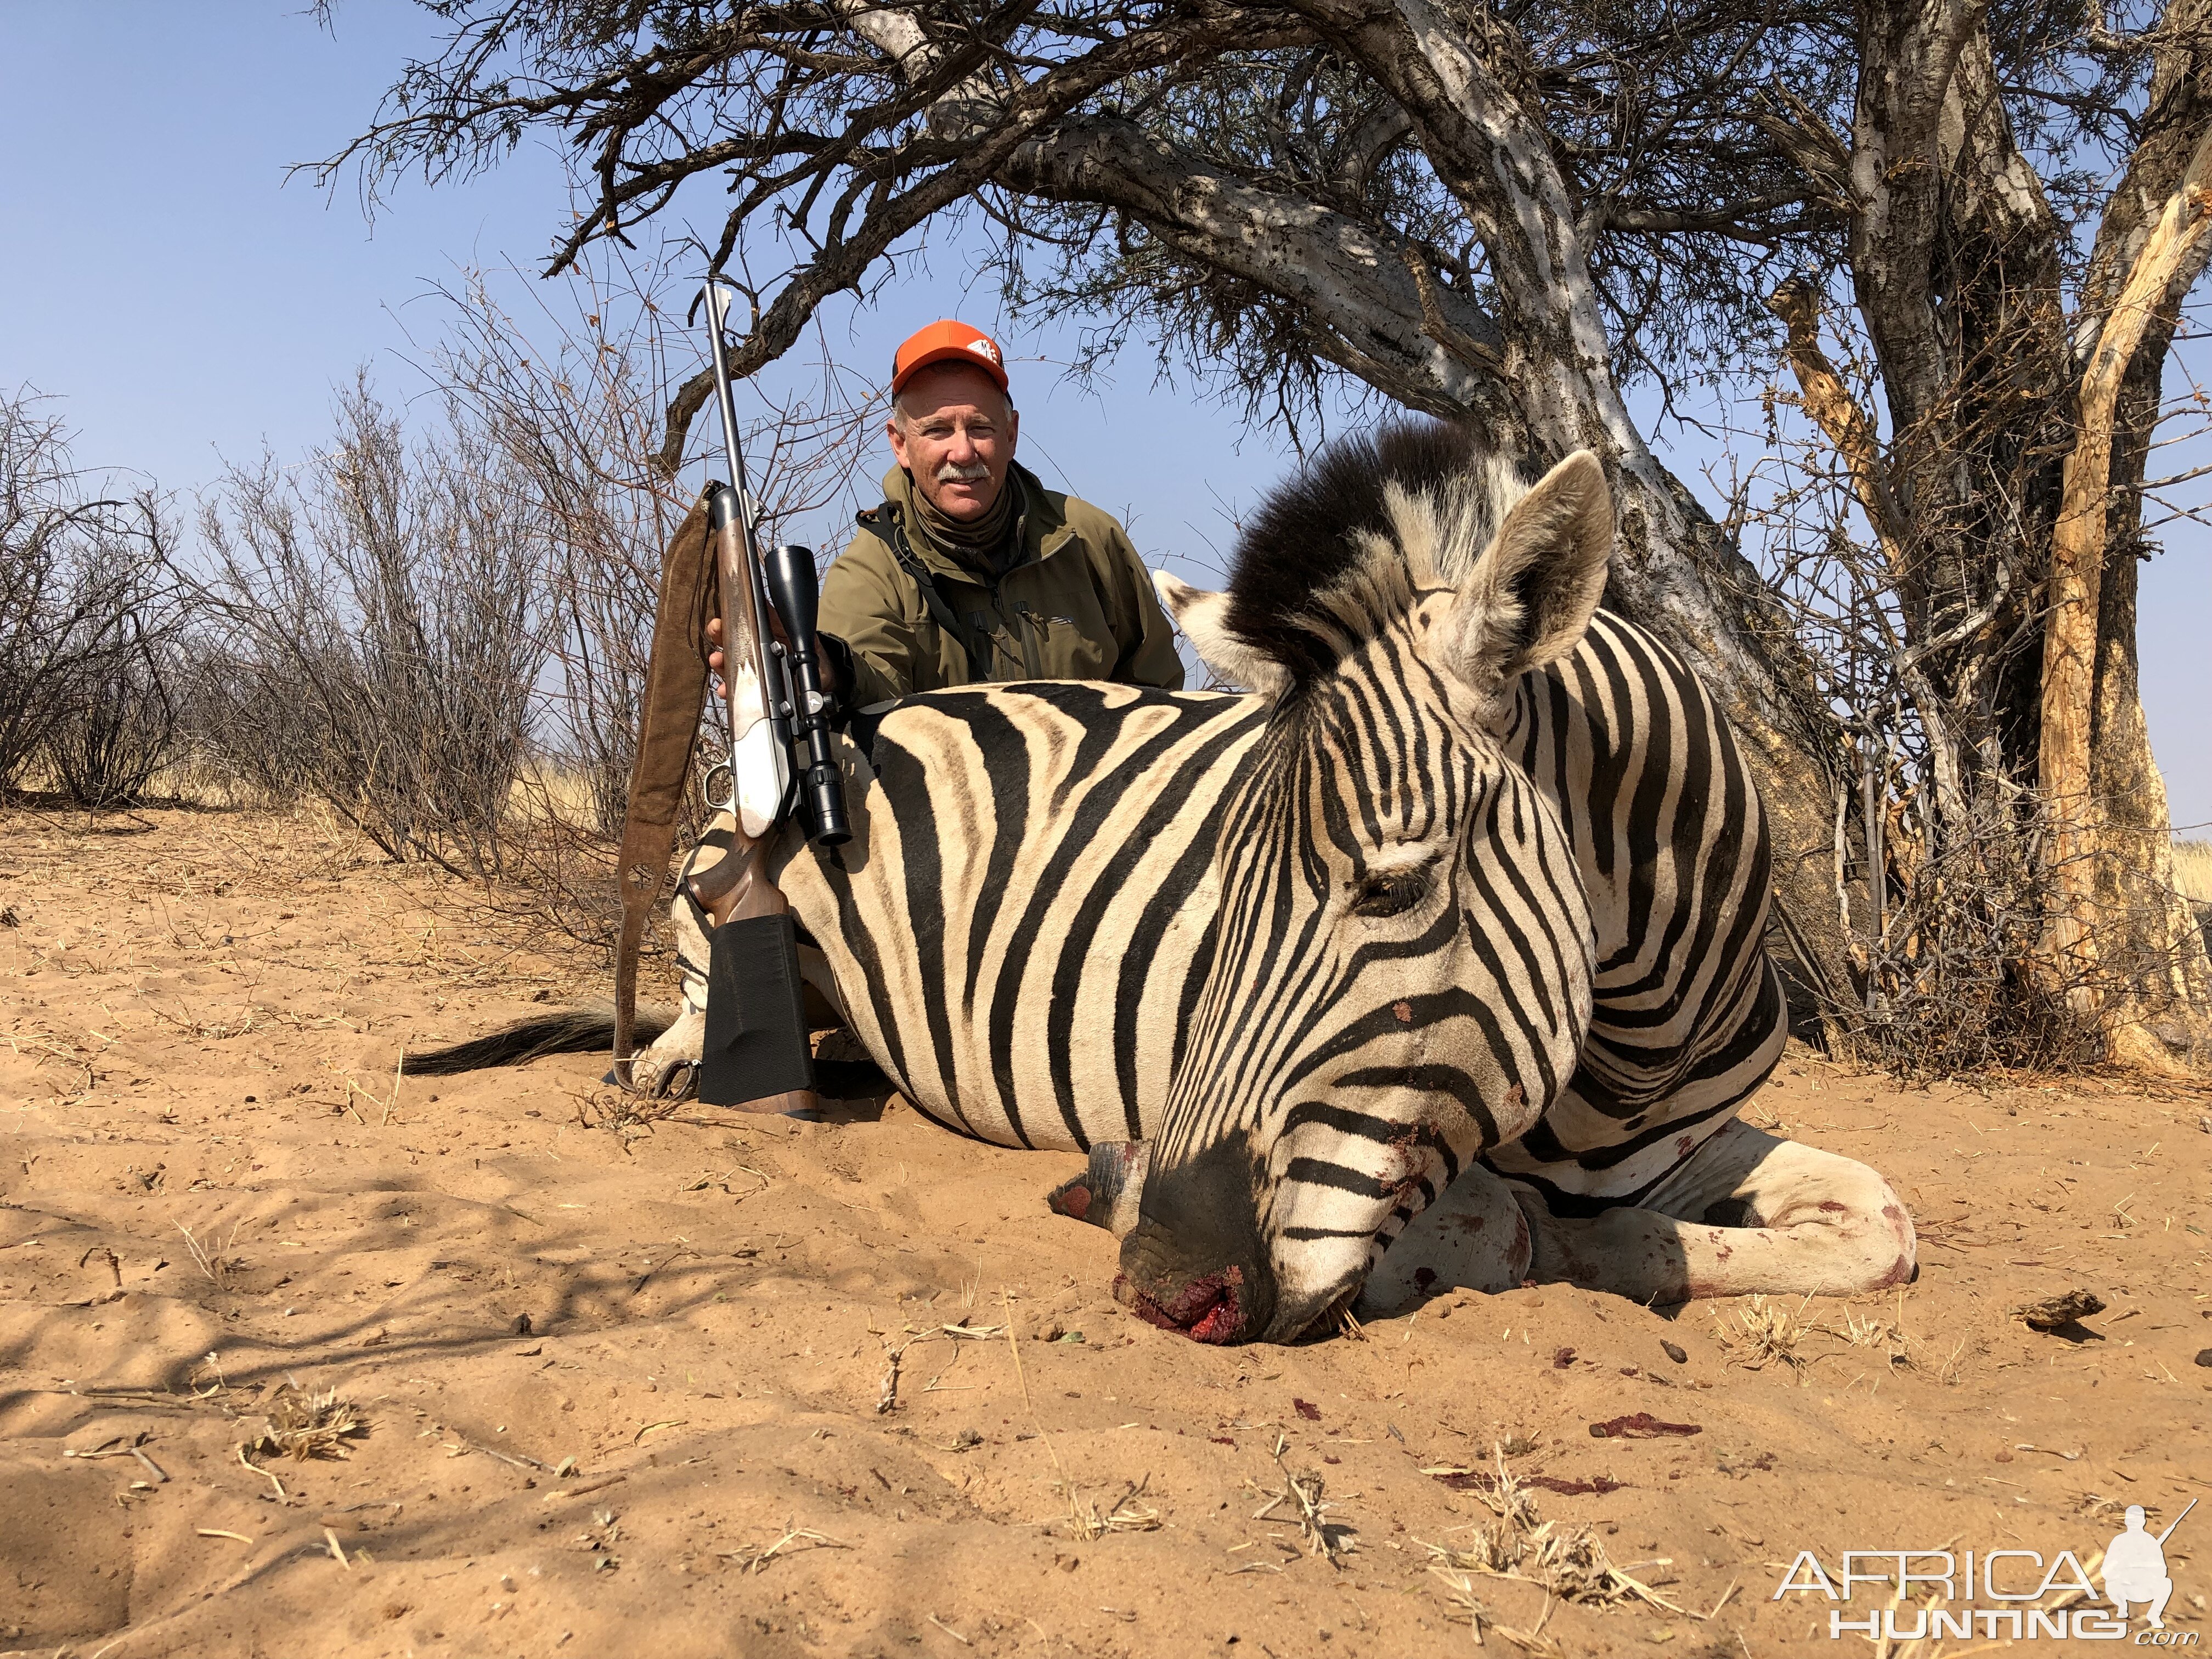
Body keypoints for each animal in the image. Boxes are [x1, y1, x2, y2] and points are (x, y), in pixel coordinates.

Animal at [416, 422, 1920, 1345]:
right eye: (1223, 889)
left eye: (1393, 887)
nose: (1161, 1288)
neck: (1631, 1044)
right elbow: (1505, 1227)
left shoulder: (1680, 1144)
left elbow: (1881, 1226)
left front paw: (1638, 1253)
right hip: (714, 911)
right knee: (683, 1041)